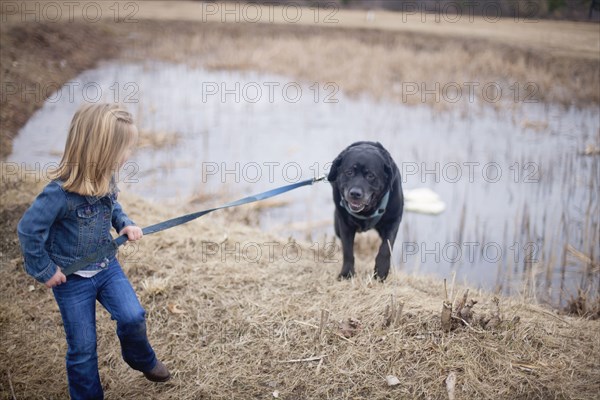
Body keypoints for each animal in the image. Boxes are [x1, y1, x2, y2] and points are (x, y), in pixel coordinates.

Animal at [328, 142, 404, 280]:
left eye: (370, 175)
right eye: (349, 172)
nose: (355, 193)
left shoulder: (393, 221)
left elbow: (386, 248)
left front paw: (381, 271)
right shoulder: (344, 224)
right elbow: (348, 250)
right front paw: (346, 273)